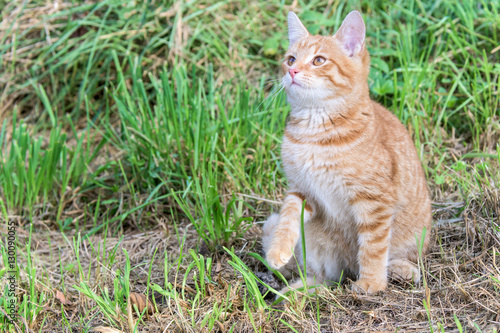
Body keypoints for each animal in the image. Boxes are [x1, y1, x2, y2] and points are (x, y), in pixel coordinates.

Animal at [264, 10, 432, 292]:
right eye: (291, 59)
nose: (293, 71)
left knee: (396, 256)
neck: (314, 134)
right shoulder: (302, 190)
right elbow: (287, 216)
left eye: (319, 60)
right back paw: (296, 292)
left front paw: (372, 283)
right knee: (326, 279)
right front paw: (278, 248)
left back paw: (400, 270)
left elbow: (373, 247)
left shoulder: (374, 201)